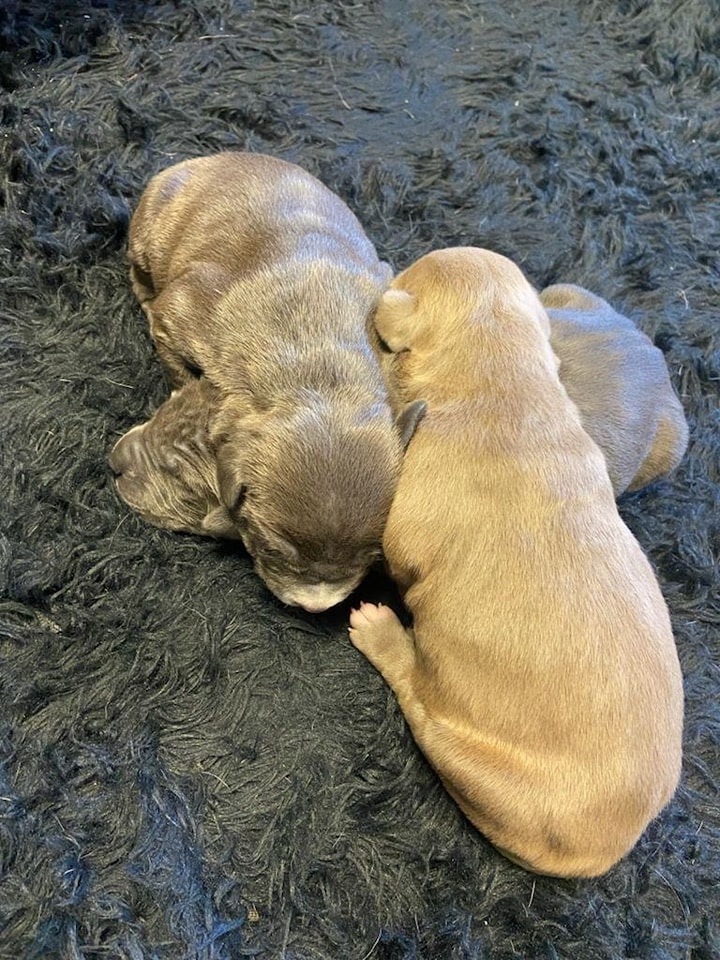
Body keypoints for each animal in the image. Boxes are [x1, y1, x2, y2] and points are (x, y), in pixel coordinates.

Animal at [109, 153, 424, 612]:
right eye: (273, 547)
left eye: (370, 557)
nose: (316, 607)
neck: (318, 372)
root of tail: (202, 159)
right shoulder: (181, 315)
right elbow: (177, 363)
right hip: (150, 227)